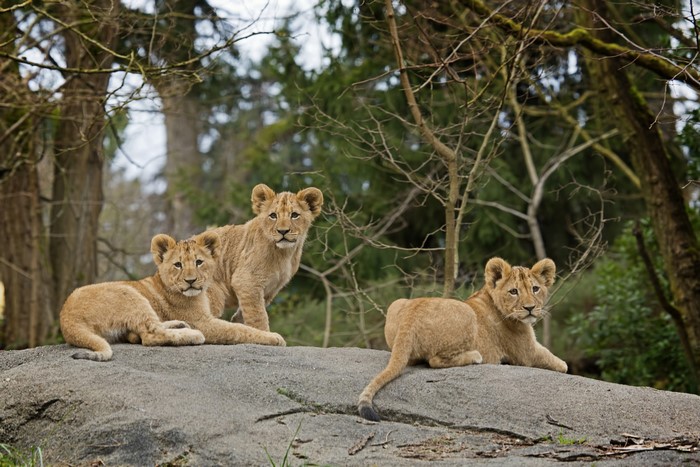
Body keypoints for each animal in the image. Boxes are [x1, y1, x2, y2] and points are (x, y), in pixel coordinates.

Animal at [60, 231, 285, 362]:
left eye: (199, 262)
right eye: (178, 265)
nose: (191, 281)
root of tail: (66, 318)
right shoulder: (203, 322)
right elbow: (239, 330)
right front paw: (274, 337)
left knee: (144, 332)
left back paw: (178, 325)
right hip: (130, 293)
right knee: (150, 336)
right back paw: (192, 335)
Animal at [204, 183, 323, 332]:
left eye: (294, 215)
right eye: (273, 216)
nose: (283, 231)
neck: (285, 254)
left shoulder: (269, 290)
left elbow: (244, 314)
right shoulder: (246, 281)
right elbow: (258, 317)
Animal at [357, 257, 568, 421]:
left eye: (535, 289)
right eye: (513, 291)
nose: (530, 308)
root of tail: (411, 315)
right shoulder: (527, 352)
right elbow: (559, 363)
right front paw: (563, 365)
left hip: (397, 303)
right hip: (466, 313)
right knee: (434, 360)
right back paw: (475, 356)